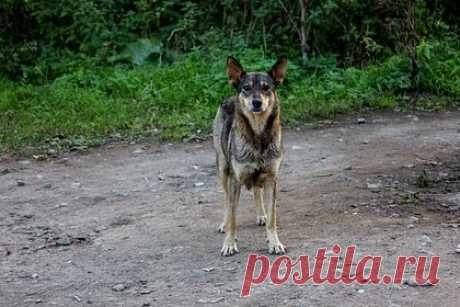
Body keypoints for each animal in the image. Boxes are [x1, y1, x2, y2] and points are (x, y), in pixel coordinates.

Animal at [213, 56, 288, 258]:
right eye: (246, 88)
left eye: (266, 87)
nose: (257, 102)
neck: (258, 135)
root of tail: (229, 98)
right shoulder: (235, 180)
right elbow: (233, 216)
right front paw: (229, 244)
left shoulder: (271, 179)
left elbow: (272, 218)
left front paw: (274, 243)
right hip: (223, 169)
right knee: (226, 200)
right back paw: (223, 223)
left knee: (256, 191)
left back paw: (261, 215)